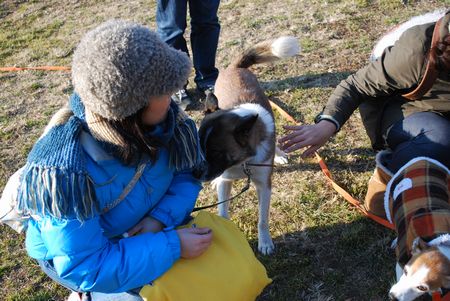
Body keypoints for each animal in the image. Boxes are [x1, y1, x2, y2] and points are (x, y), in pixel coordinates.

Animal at [196, 36, 298, 254]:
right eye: (199, 146)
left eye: (216, 152)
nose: (195, 175)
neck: (243, 162)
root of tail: (235, 67)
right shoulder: (226, 180)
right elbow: (222, 211)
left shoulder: (264, 185)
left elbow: (263, 219)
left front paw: (265, 242)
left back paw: (279, 154)